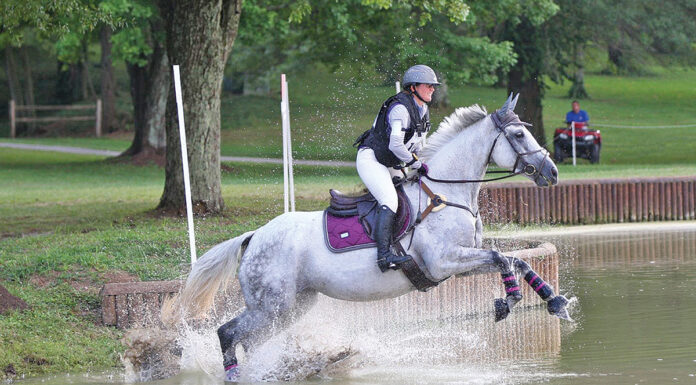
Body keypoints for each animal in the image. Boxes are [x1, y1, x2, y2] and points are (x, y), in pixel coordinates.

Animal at [166, 94, 568, 380]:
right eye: (519, 134)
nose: (552, 172)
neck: (445, 193)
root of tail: (254, 237)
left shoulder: (461, 262)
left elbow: (516, 261)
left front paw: (555, 301)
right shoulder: (445, 261)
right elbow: (503, 259)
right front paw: (507, 302)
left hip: (292, 305)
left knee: (248, 340)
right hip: (271, 305)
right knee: (228, 333)